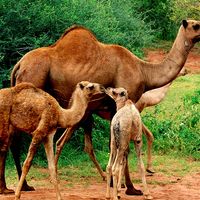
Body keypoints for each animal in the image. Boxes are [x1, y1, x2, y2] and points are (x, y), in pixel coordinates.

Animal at [0, 19, 199, 195]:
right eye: (196, 25)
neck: (145, 72)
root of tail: (19, 65)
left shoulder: (113, 110)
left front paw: (119, 184)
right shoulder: (126, 103)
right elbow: (124, 148)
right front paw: (131, 188)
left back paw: (17, 186)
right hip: (32, 91)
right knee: (15, 140)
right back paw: (19, 186)